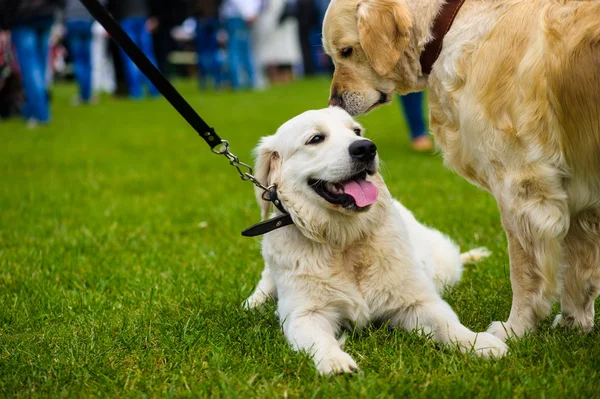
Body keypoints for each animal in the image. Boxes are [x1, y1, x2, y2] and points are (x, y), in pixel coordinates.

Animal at [244, 107, 506, 376]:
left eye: (356, 131)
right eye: (316, 138)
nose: (366, 148)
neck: (345, 241)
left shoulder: (417, 302)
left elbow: (447, 324)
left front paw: (480, 343)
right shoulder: (305, 314)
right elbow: (320, 340)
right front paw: (335, 362)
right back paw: (254, 302)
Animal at [324, 0, 600, 340]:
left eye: (346, 51)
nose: (334, 101)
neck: (451, 24)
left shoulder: (519, 185)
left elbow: (524, 270)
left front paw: (515, 329)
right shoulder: (578, 191)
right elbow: (578, 269)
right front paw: (575, 323)